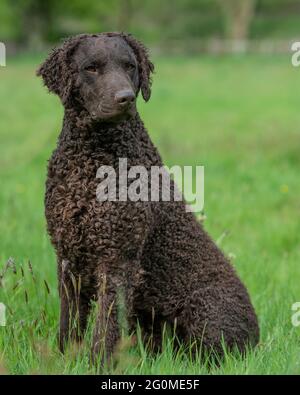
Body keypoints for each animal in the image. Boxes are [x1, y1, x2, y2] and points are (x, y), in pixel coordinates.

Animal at [37, 32, 258, 364]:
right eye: (91, 68)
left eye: (129, 66)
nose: (126, 97)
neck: (92, 160)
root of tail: (258, 338)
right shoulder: (67, 256)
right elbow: (69, 324)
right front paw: (65, 361)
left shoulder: (117, 259)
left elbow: (105, 328)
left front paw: (98, 365)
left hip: (204, 312)